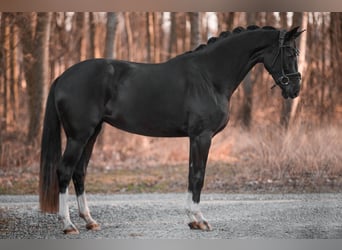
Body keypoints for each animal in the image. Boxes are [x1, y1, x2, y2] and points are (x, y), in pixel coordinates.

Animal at [38, 25, 304, 234]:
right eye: (290, 52)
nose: (295, 89)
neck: (209, 76)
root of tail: (62, 77)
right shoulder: (202, 136)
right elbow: (198, 176)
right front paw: (200, 220)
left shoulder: (194, 138)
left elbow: (191, 174)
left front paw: (192, 220)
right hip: (78, 136)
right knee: (64, 171)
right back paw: (68, 224)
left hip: (92, 134)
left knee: (79, 172)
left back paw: (89, 221)